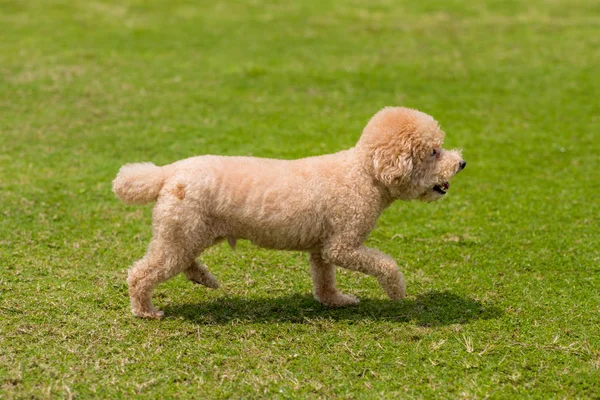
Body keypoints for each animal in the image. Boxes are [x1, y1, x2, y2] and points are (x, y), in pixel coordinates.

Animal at [113, 107, 468, 318]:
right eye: (434, 152)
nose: (462, 163)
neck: (364, 173)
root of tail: (167, 173)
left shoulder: (322, 248)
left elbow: (324, 279)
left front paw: (335, 301)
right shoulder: (343, 245)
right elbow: (385, 264)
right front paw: (397, 290)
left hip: (189, 232)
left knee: (181, 261)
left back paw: (203, 278)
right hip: (183, 231)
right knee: (142, 273)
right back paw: (145, 310)